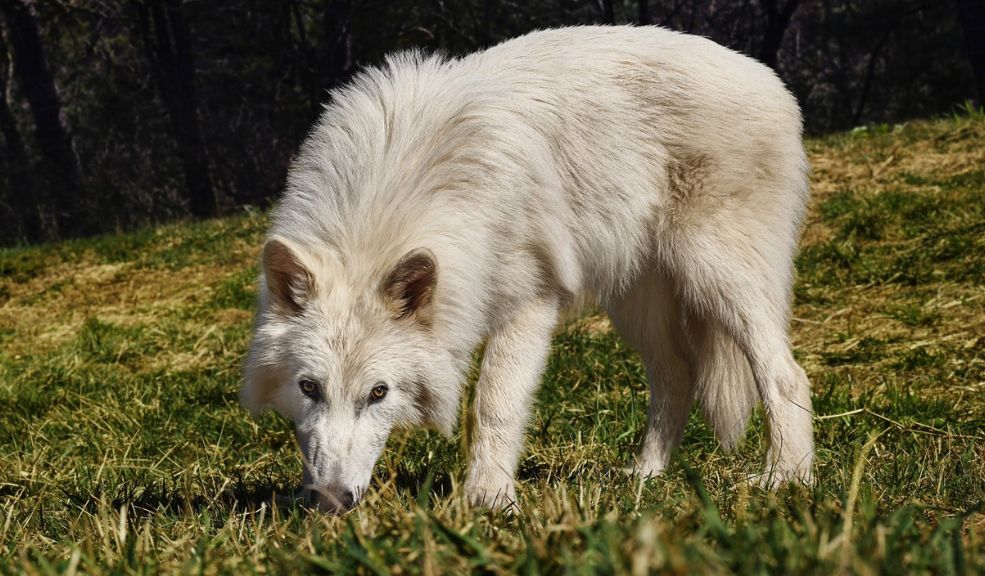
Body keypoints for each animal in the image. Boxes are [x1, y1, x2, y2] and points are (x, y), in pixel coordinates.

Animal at [242, 25, 814, 513]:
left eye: (378, 393)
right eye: (309, 388)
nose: (329, 502)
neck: (395, 192)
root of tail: (770, 79)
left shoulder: (530, 304)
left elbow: (494, 404)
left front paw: (490, 501)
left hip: (717, 278)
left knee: (785, 373)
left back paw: (787, 478)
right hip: (636, 305)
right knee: (678, 376)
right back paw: (646, 477)